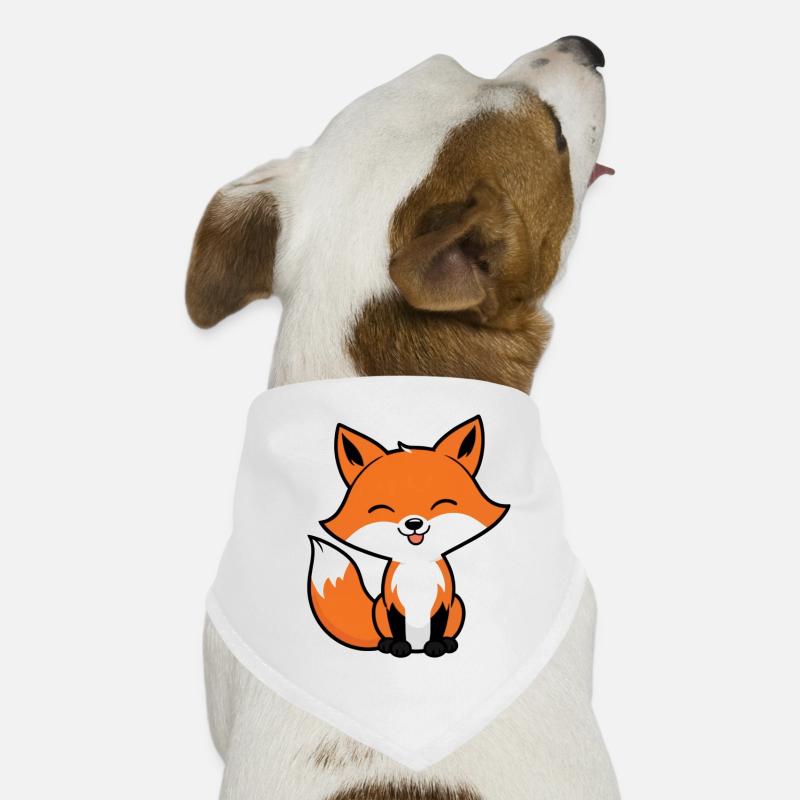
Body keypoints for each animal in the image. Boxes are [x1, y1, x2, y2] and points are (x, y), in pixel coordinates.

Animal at [308, 415, 509, 658]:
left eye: (441, 504)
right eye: (384, 508)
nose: (414, 523)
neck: (416, 564)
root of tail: (417, 648)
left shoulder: (443, 601)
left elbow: (438, 625)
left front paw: (436, 645)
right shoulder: (392, 603)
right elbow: (397, 626)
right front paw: (398, 646)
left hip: (458, 604)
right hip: (379, 607)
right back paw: (388, 644)